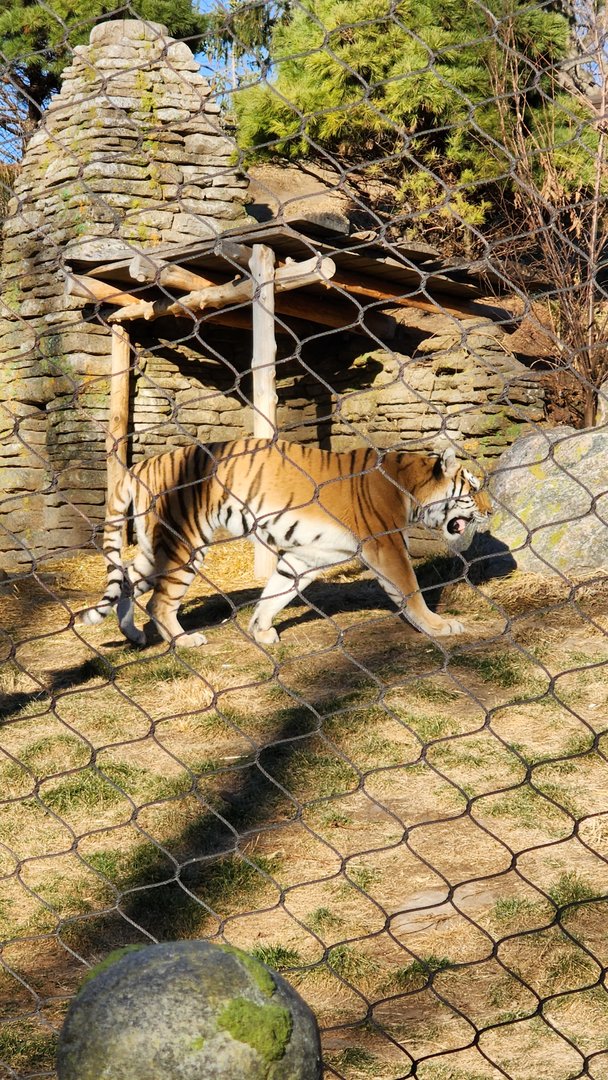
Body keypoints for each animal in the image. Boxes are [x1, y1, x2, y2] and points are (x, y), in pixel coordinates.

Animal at [77, 438, 491, 648]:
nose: (490, 511)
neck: (411, 489)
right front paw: (439, 627)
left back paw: (132, 634)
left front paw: (260, 630)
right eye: (473, 489)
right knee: (159, 602)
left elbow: (276, 593)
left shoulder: (306, 557)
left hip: (153, 547)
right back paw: (185, 641)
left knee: (127, 578)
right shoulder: (386, 546)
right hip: (185, 543)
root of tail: (140, 465)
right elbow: (410, 590)